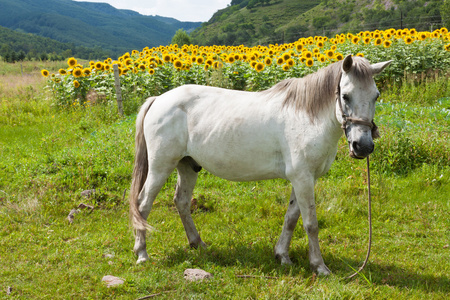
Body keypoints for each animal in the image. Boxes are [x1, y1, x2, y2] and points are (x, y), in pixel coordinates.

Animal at [129, 55, 390, 276]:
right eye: (346, 96)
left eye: (376, 96)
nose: (363, 146)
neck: (307, 116)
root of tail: (159, 99)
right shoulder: (303, 178)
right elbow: (311, 223)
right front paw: (319, 266)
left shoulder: (304, 179)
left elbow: (292, 218)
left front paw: (282, 256)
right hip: (161, 167)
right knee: (143, 205)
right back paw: (142, 253)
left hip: (187, 166)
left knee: (181, 202)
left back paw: (198, 243)